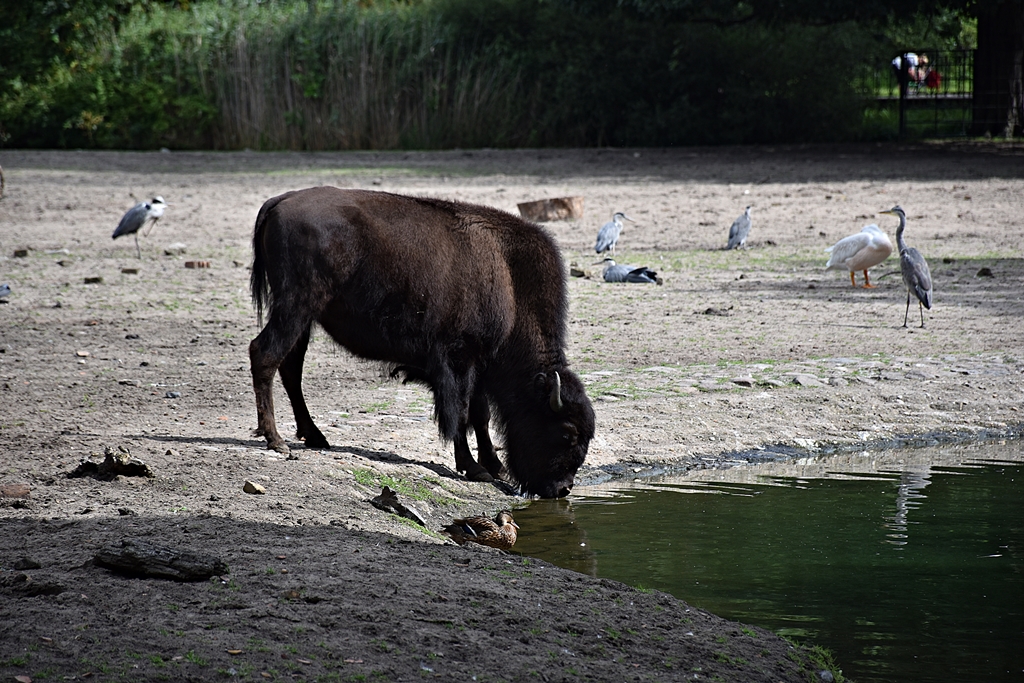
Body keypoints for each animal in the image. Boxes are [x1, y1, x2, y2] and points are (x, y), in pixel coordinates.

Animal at [249, 187, 595, 498]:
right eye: (566, 433)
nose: (563, 489)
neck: (510, 279)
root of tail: (280, 201)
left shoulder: (478, 366)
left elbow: (480, 416)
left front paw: (494, 467)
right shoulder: (458, 361)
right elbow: (461, 414)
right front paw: (475, 468)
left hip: (304, 317)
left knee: (290, 368)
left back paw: (314, 436)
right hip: (295, 307)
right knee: (264, 355)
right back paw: (276, 440)